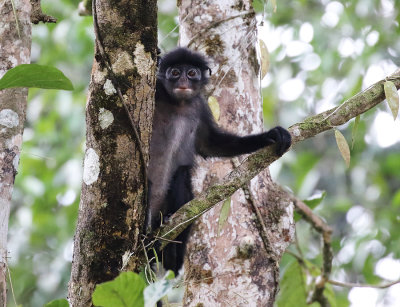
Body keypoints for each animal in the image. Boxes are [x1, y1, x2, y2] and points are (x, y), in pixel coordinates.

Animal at [147, 48, 290, 276]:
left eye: (192, 73)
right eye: (175, 72)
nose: (184, 81)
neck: (179, 103)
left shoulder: (200, 107)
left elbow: (212, 145)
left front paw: (271, 135)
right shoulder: (159, 92)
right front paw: (158, 53)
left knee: (182, 175)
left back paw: (171, 250)